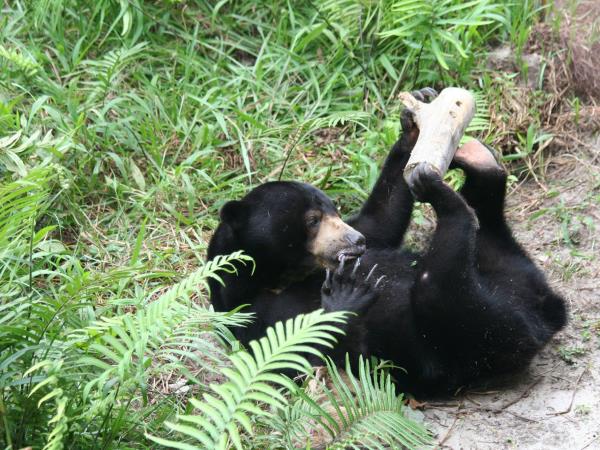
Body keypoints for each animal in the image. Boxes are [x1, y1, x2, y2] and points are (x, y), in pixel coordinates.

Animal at [207, 87, 568, 394]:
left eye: (333, 210)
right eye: (312, 220)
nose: (356, 242)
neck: (284, 275)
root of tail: (546, 313)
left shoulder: (369, 234)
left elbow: (382, 218)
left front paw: (413, 120)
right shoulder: (253, 314)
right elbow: (306, 354)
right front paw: (347, 292)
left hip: (505, 274)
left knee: (490, 231)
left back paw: (477, 160)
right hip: (469, 334)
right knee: (442, 279)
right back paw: (442, 192)